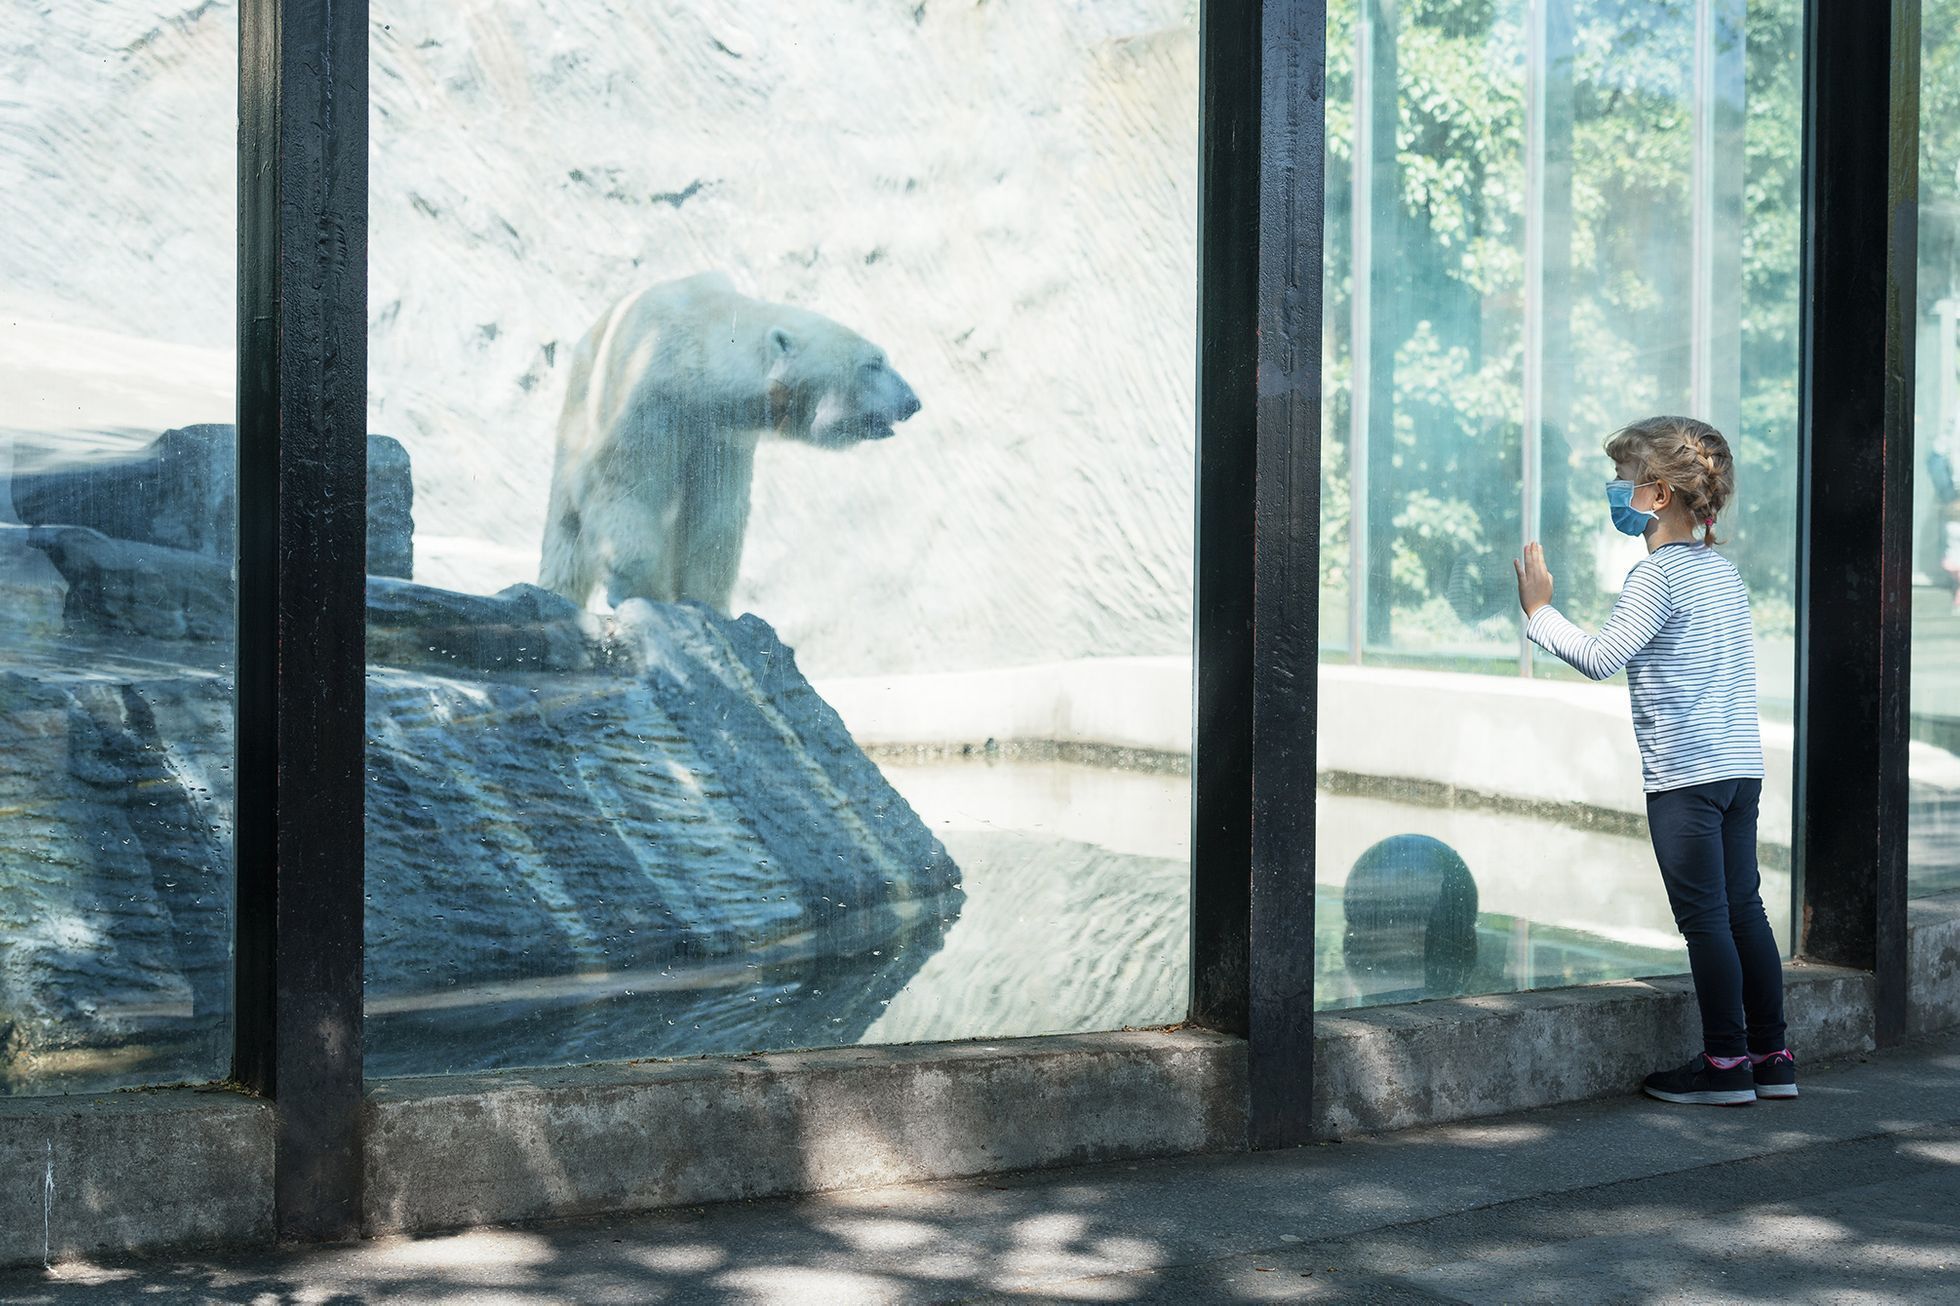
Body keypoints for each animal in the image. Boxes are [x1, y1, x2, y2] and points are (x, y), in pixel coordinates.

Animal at [537, 274, 917, 611]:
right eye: (873, 363)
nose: (913, 402)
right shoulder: (649, 396)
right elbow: (623, 481)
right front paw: (638, 590)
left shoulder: (722, 435)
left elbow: (714, 516)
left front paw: (707, 603)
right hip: (581, 402)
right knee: (566, 523)